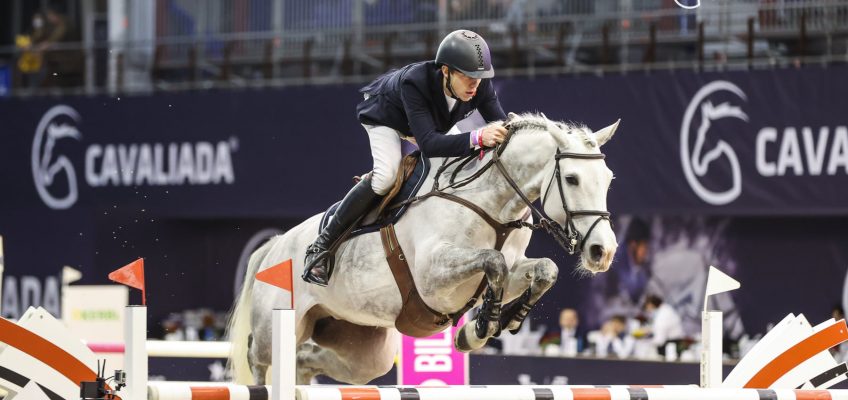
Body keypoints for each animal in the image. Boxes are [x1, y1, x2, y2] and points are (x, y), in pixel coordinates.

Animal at [229, 111, 620, 384]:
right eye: (571, 179)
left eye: (608, 179)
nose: (604, 252)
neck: (493, 204)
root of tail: (276, 245)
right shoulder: (433, 278)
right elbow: (492, 261)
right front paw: (479, 329)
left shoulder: (509, 270)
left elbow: (543, 270)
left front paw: (501, 320)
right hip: (274, 327)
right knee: (258, 360)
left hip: (362, 352)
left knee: (305, 362)